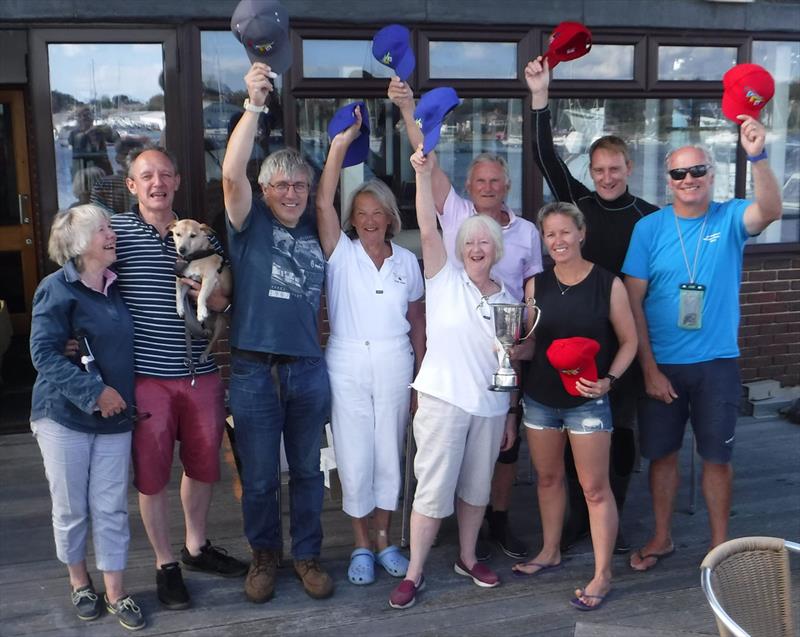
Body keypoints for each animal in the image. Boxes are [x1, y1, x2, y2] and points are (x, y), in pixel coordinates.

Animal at [167, 219, 231, 360]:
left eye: (193, 236)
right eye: (177, 234)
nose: (182, 250)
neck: (195, 258)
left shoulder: (209, 279)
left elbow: (201, 294)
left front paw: (201, 311)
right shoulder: (187, 281)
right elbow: (178, 294)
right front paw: (180, 309)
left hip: (220, 324)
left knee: (213, 340)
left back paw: (204, 355)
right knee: (208, 332)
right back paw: (205, 330)